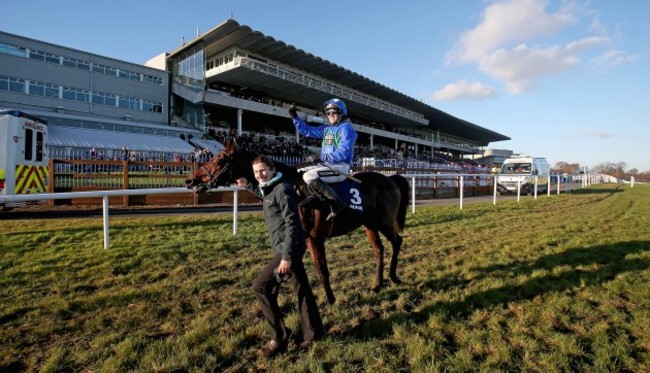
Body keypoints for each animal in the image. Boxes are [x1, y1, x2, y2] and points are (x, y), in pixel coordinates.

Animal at [185, 140, 404, 302]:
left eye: (219, 159)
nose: (190, 180)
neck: (291, 188)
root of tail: (391, 179)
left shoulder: (314, 237)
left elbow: (322, 269)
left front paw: (330, 300)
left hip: (384, 222)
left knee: (397, 241)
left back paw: (393, 277)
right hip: (369, 224)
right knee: (379, 249)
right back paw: (377, 284)